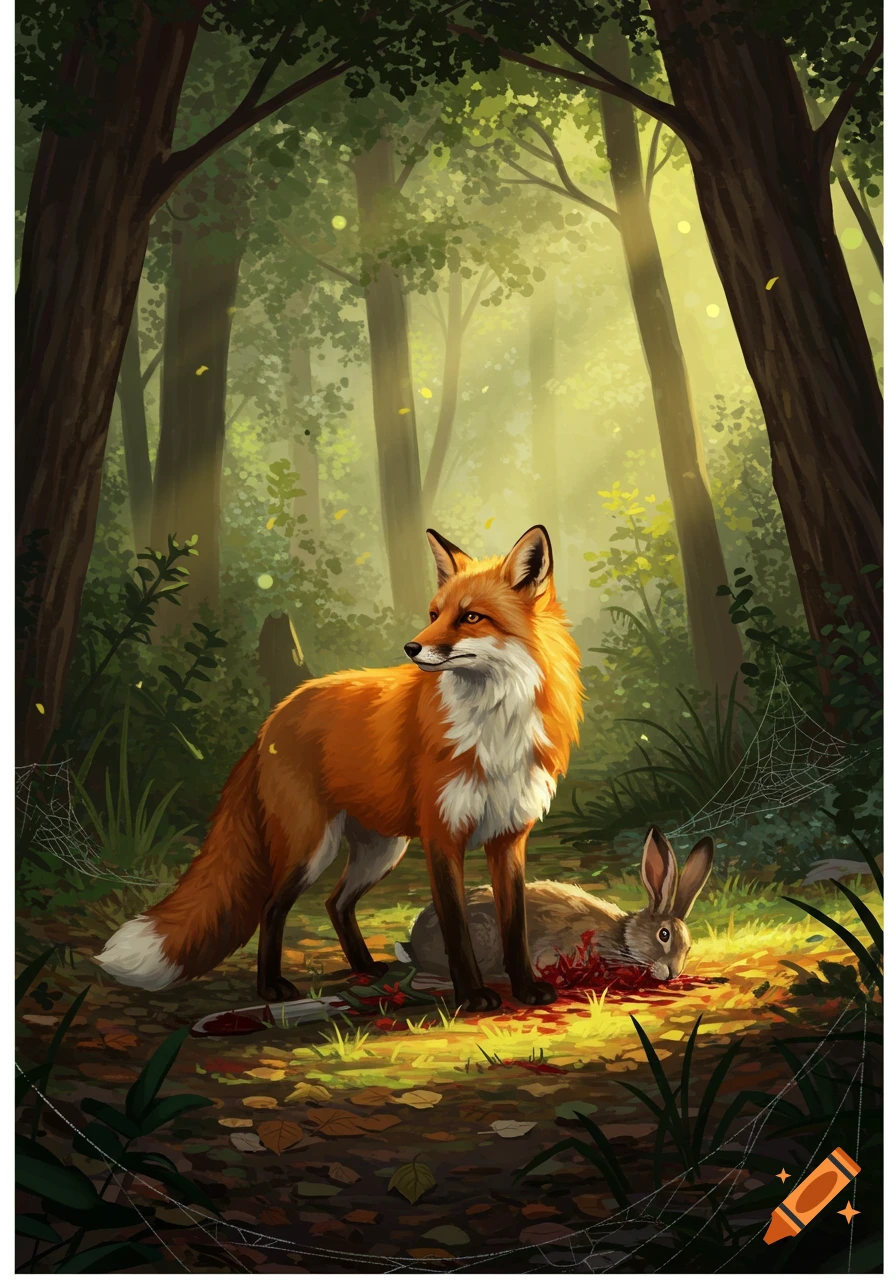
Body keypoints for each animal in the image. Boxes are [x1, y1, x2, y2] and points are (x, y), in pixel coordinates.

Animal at [95, 525, 584, 1013]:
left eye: (470, 617)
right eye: (434, 613)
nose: (411, 647)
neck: (496, 727)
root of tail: (276, 715)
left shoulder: (508, 838)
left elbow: (515, 927)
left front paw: (526, 989)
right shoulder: (442, 835)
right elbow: (456, 928)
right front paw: (473, 995)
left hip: (381, 850)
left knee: (336, 903)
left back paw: (364, 967)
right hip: (312, 847)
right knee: (272, 908)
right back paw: (271, 987)